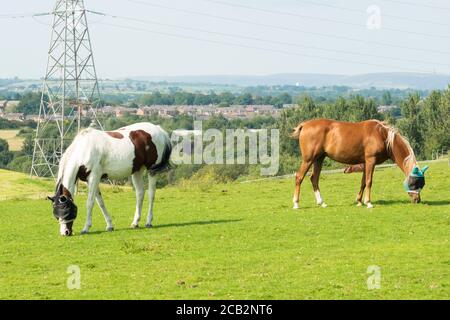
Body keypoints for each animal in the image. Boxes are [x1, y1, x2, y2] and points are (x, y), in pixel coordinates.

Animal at [290, 119, 430, 209]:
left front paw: (359, 201)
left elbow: (363, 182)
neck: (382, 135)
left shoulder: (364, 163)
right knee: (299, 177)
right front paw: (368, 202)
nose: (417, 200)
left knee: (314, 178)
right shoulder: (370, 161)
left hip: (319, 158)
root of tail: (304, 125)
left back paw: (321, 202)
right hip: (308, 159)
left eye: (422, 184)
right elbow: (369, 181)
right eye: (414, 182)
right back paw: (296, 204)